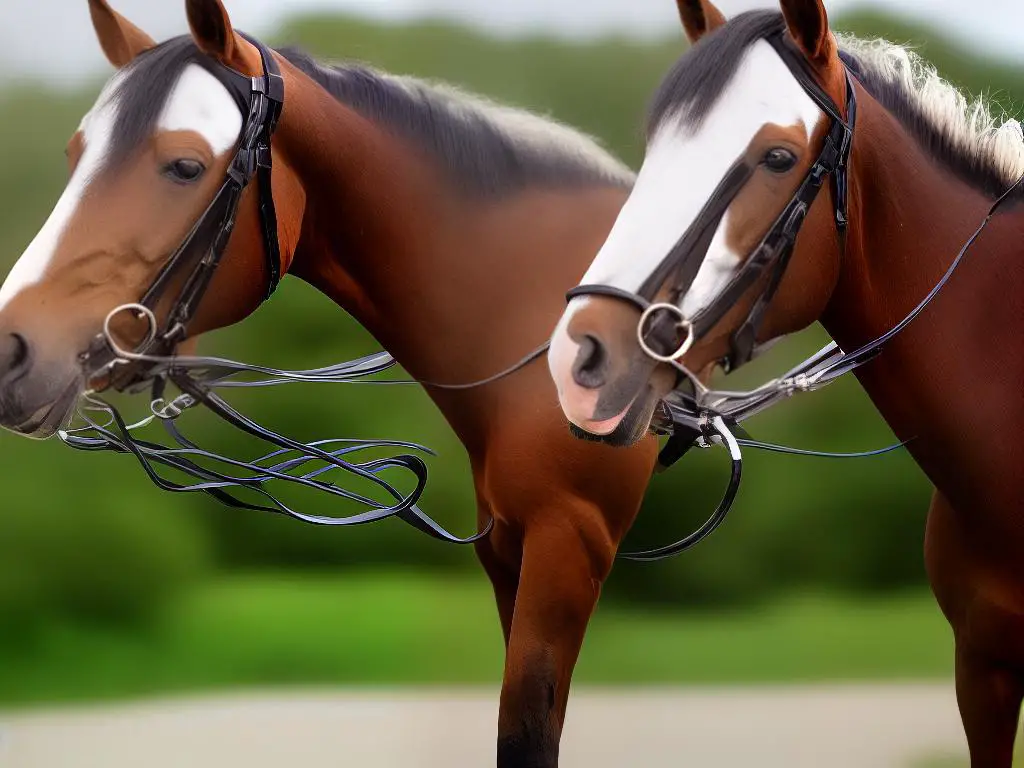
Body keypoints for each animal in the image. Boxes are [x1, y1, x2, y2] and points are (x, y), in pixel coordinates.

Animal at [0, 3, 663, 765]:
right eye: (77, 156)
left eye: (185, 165)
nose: (11, 350)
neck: (541, 307)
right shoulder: (510, 550)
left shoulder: (568, 540)